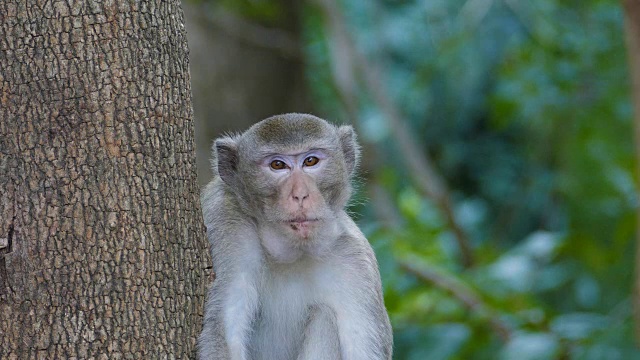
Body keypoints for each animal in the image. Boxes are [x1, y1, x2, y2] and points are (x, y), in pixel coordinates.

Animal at [198, 113, 392, 360]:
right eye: (277, 165)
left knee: (324, 317)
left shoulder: (355, 260)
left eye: (310, 161)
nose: (300, 194)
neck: (292, 254)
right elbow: (224, 331)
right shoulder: (226, 221)